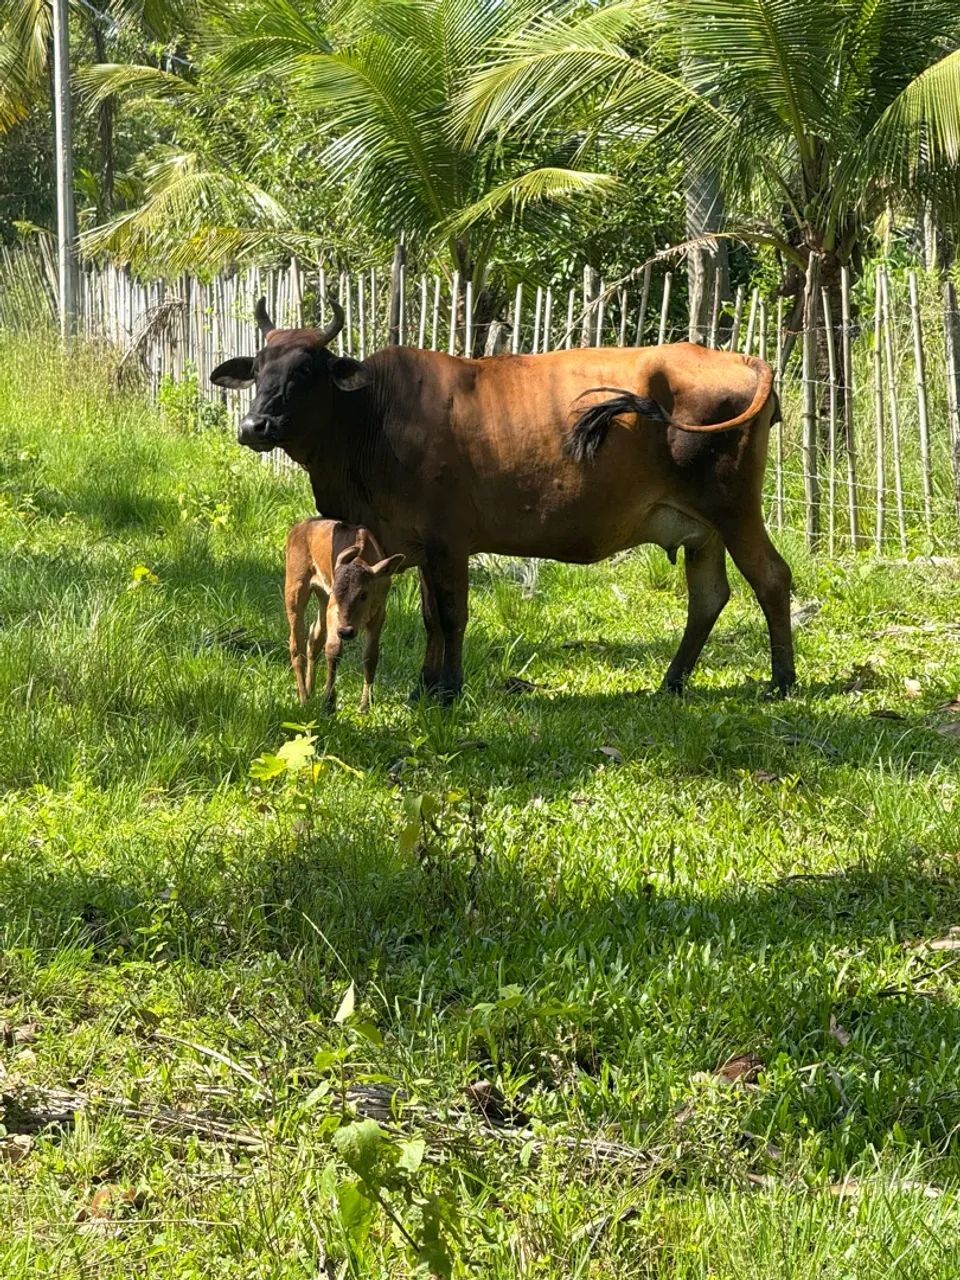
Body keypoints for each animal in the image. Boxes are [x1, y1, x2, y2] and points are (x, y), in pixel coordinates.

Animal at [211, 299, 794, 702]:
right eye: (259, 367)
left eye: (307, 369)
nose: (254, 425)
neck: (372, 415)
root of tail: (741, 358)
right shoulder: (418, 547)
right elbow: (429, 615)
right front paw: (425, 685)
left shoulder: (448, 541)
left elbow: (451, 615)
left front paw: (448, 690)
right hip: (702, 530)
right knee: (709, 597)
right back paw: (672, 681)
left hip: (734, 510)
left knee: (771, 577)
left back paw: (782, 681)